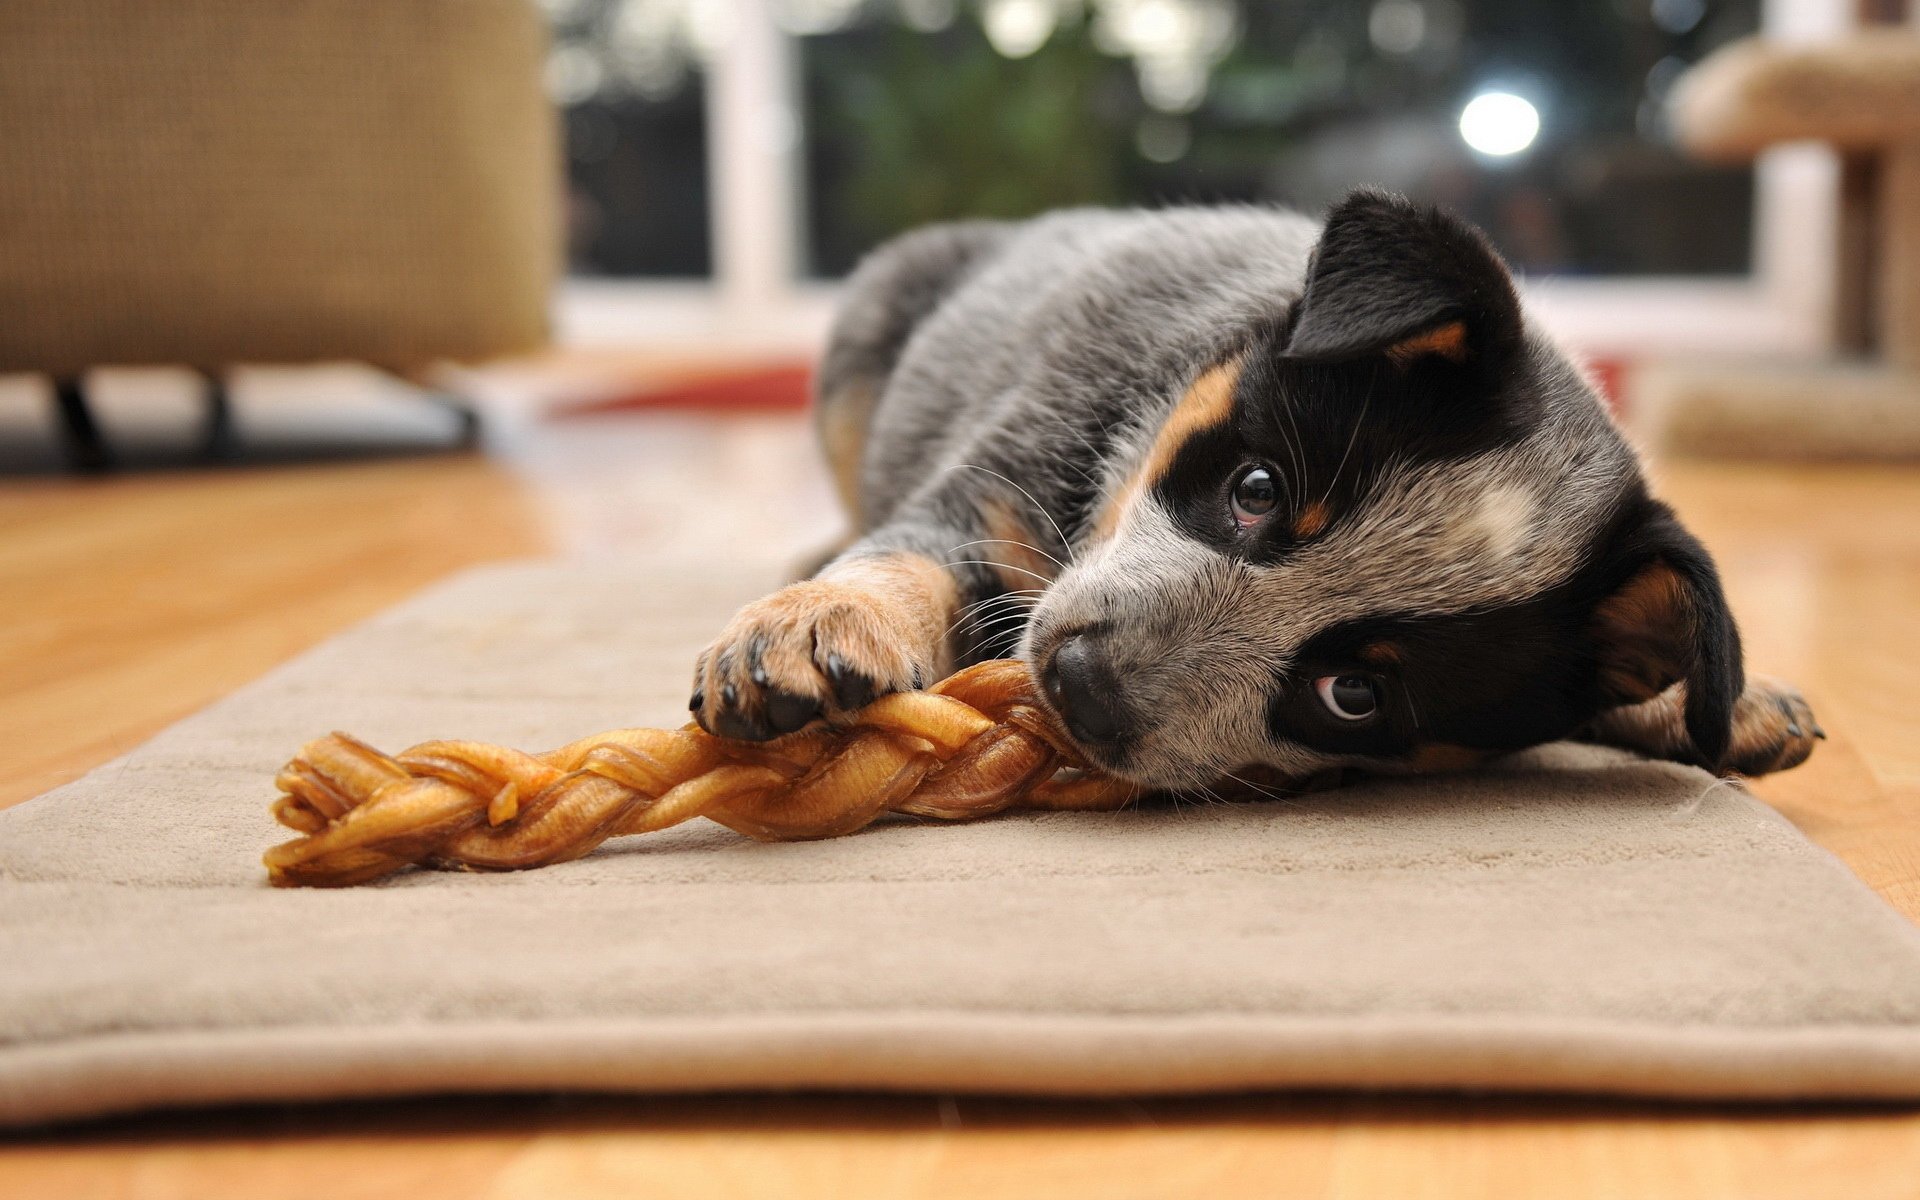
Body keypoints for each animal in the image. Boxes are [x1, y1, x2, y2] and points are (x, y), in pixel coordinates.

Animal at [687, 189, 1812, 787]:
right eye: (1258, 488)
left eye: (1353, 694)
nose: (1081, 683)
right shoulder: (988, 492)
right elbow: (903, 554)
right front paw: (813, 620)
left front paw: (1713, 701)